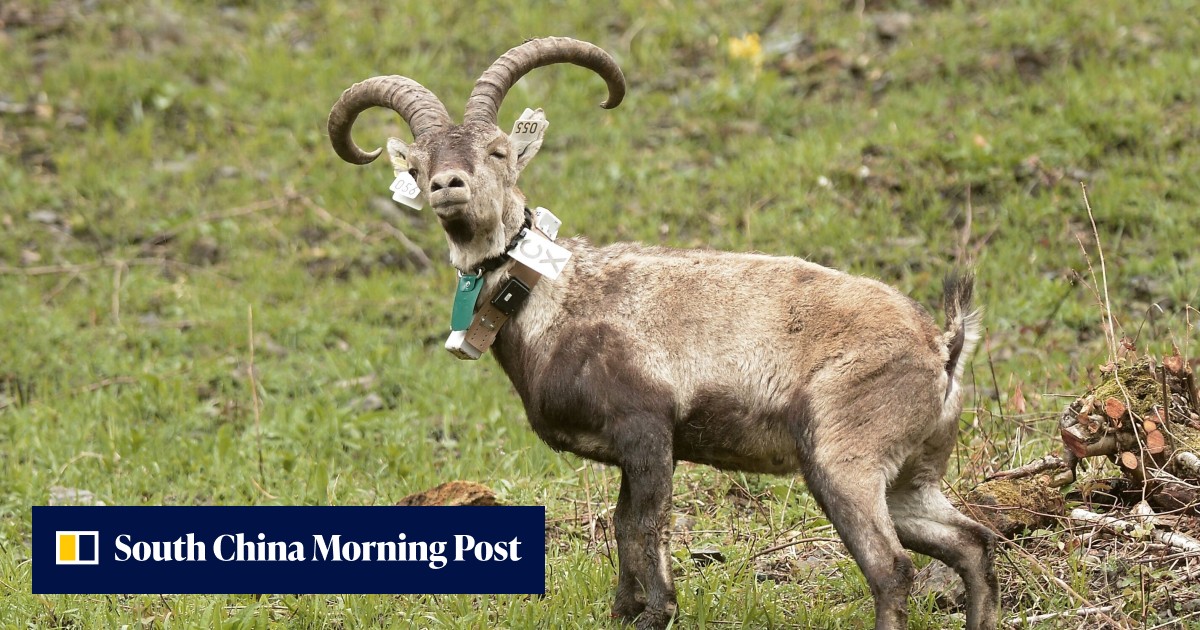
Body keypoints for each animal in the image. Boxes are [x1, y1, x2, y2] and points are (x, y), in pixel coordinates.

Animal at [327, 37, 998, 630]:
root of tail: (942, 347)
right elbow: (624, 523)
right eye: (418, 164)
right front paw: (625, 611)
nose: (449, 186)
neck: (553, 297)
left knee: (892, 568)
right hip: (910, 478)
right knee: (972, 543)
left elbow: (646, 523)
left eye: (497, 152)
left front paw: (659, 612)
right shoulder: (630, 451)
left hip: (843, 459)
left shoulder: (646, 429)